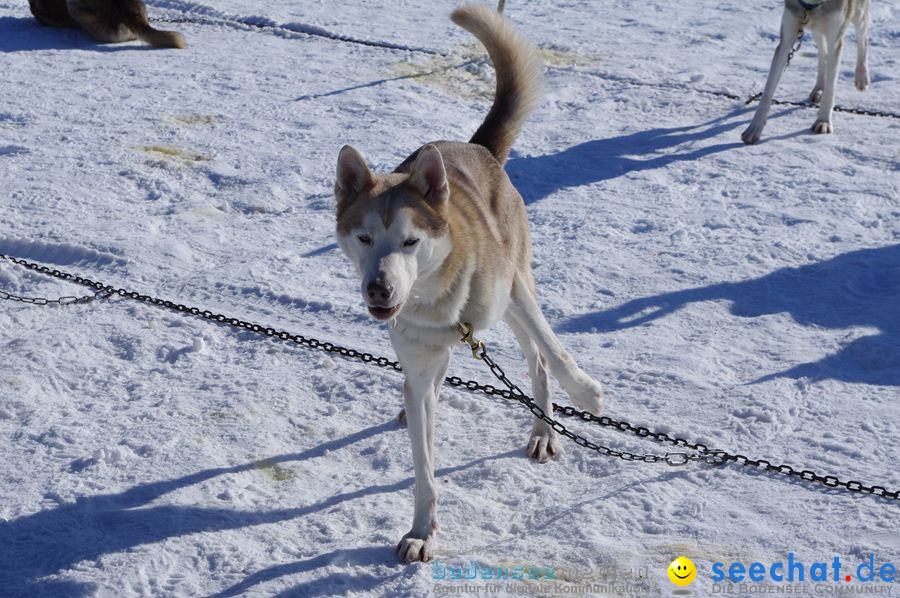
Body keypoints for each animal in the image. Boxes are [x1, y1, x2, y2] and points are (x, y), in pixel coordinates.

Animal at [332, 4, 604, 564]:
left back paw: (544, 430)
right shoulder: (419, 361)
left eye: (410, 241)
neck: (436, 299)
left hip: (516, 294)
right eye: (364, 237)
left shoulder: (512, 292)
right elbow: (424, 467)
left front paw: (587, 393)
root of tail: (477, 148)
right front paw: (422, 529)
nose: (379, 290)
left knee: (537, 360)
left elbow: (556, 352)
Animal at [740, 0, 868, 144]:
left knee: (863, 39)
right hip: (817, 31)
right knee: (823, 54)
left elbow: (830, 90)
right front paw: (753, 129)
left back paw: (861, 78)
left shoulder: (835, 39)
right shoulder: (786, 39)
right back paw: (818, 89)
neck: (811, 6)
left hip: (858, 15)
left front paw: (823, 121)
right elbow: (767, 94)